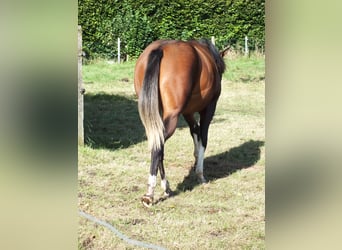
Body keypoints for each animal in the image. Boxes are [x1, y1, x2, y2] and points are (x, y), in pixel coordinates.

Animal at [134, 39, 227, 207]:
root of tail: (160, 49)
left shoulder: (188, 112)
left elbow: (194, 131)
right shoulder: (208, 109)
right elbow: (203, 137)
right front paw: (200, 174)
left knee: (157, 144)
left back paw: (166, 187)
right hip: (172, 116)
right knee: (158, 146)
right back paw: (150, 193)